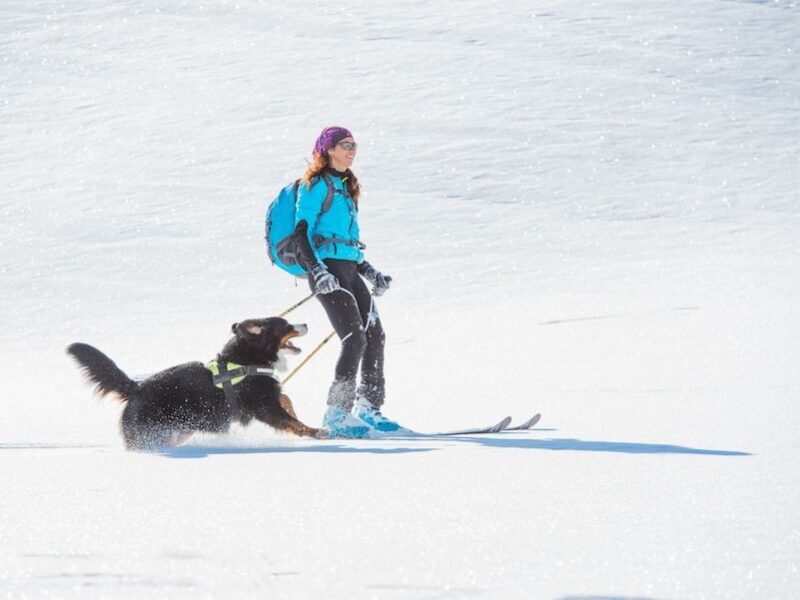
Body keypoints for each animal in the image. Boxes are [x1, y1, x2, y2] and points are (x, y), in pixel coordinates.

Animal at [66, 318, 324, 450]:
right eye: (286, 325)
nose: (306, 323)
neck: (247, 359)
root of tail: (136, 388)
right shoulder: (263, 406)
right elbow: (291, 421)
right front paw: (317, 432)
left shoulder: (268, 397)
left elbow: (286, 400)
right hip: (151, 434)